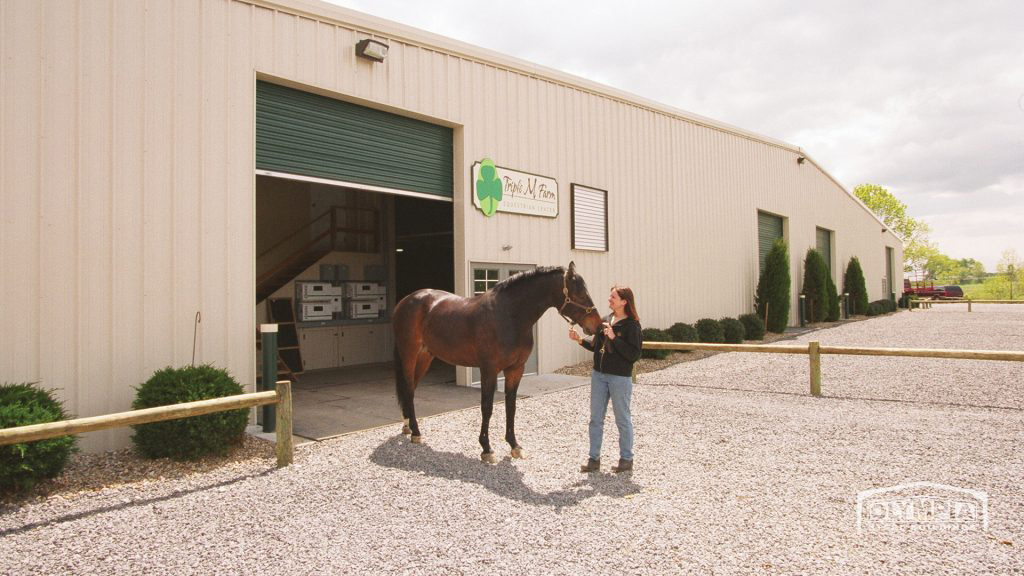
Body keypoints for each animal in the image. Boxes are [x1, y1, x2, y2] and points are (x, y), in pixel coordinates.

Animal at [392, 262, 604, 463]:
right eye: (579, 292)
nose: (597, 325)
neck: (509, 316)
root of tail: (405, 301)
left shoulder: (516, 369)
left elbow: (511, 406)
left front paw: (514, 445)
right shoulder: (489, 370)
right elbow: (487, 407)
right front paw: (486, 449)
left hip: (425, 356)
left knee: (411, 388)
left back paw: (408, 427)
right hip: (409, 354)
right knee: (409, 389)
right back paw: (416, 432)